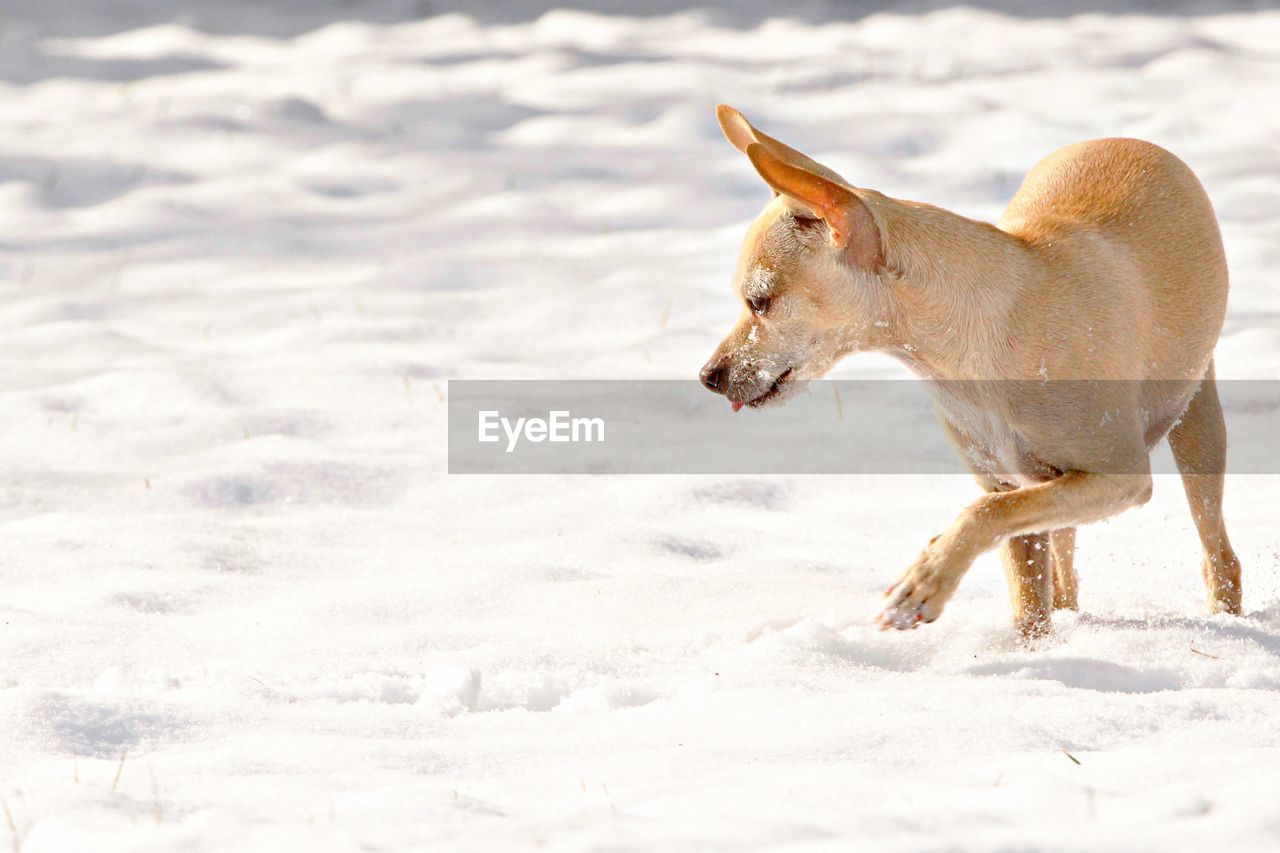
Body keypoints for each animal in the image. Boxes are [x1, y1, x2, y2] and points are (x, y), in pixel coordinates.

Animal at [701, 103, 1239, 635]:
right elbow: (1023, 587)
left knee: (1219, 554)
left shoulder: (1118, 478)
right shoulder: (1012, 484)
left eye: (760, 301)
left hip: (1197, 427)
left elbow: (983, 513)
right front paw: (1029, 650)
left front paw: (924, 582)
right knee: (1064, 574)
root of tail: (1128, 140)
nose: (708, 376)